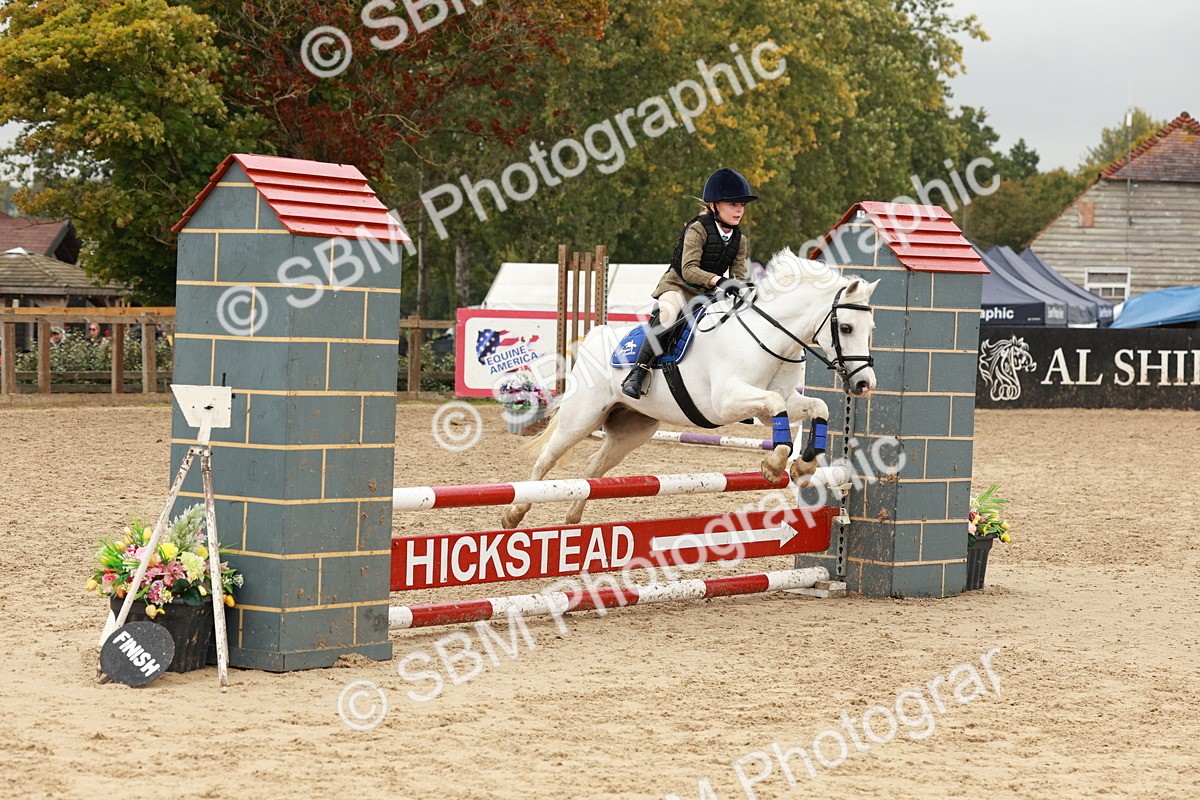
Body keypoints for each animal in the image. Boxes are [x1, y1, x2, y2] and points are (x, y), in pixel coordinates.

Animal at [500, 248, 879, 529]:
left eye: (871, 328)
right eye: (846, 327)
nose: (864, 384)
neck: (769, 336)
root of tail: (597, 335)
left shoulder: (780, 403)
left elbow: (816, 408)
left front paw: (805, 464)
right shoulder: (726, 401)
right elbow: (774, 403)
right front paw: (775, 465)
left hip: (632, 429)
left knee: (594, 468)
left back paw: (573, 516)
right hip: (582, 418)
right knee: (546, 461)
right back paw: (513, 515)